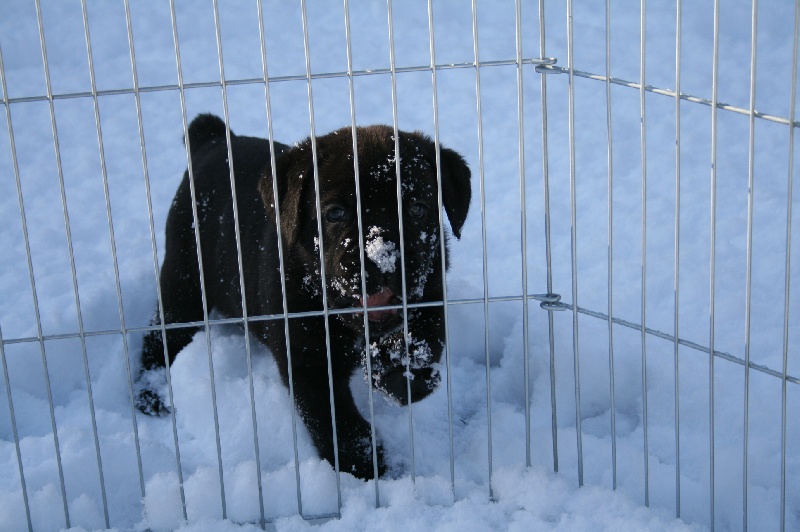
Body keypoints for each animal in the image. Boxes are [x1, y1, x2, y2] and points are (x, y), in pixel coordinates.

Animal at [139, 114, 468, 480]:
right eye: (335, 213)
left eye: (418, 210)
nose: (384, 258)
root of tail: (212, 138)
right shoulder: (307, 358)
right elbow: (337, 421)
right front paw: (366, 467)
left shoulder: (430, 289)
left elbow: (426, 339)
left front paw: (401, 372)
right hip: (184, 281)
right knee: (162, 337)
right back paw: (151, 395)